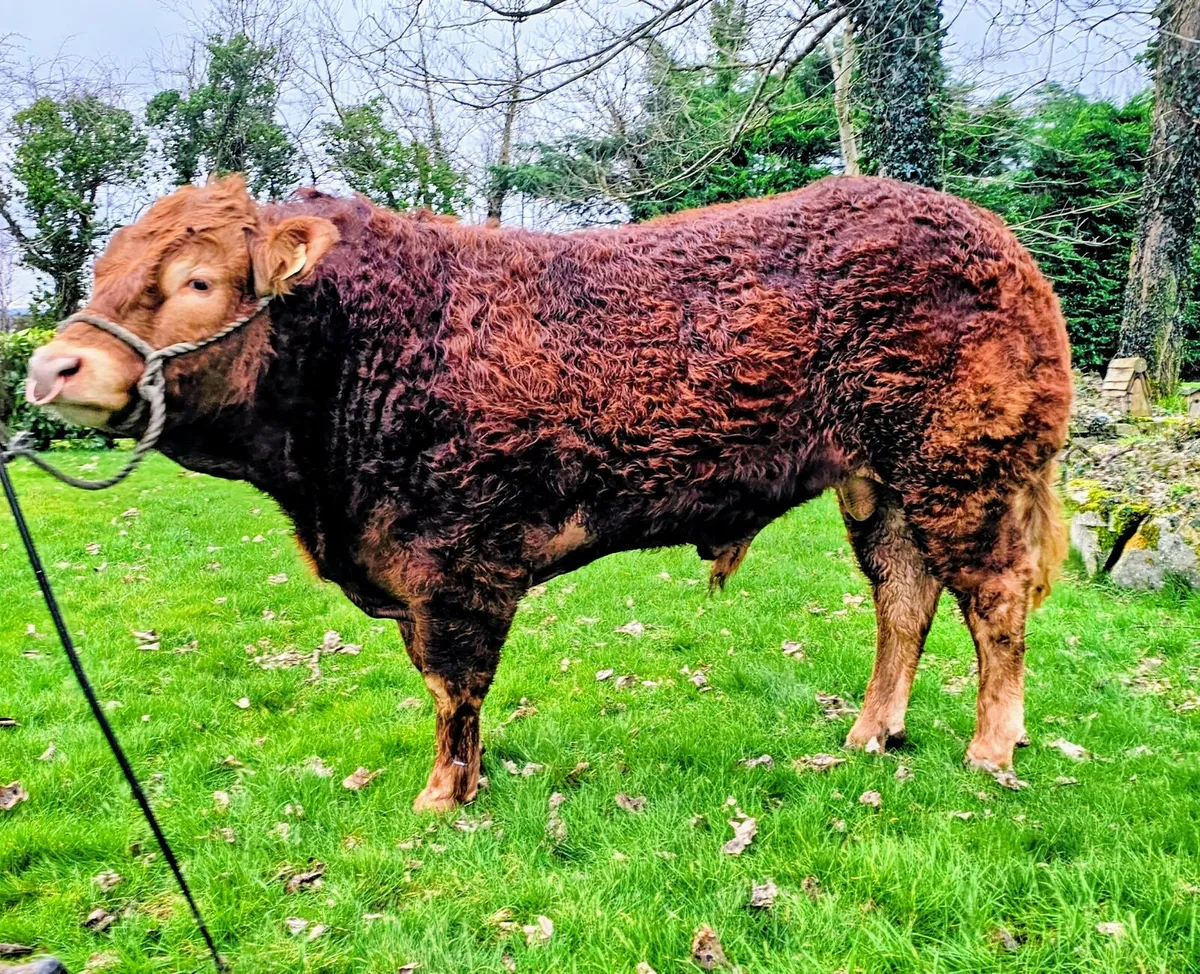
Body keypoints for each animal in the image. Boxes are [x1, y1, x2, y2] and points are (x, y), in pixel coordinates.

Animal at [27, 174, 1071, 811]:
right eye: (105, 268)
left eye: (199, 280)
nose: (51, 365)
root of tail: (995, 236)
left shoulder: (454, 561)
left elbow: (454, 685)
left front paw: (444, 796)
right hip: (878, 482)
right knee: (904, 594)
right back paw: (869, 733)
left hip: (961, 469)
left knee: (995, 601)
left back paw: (991, 751)